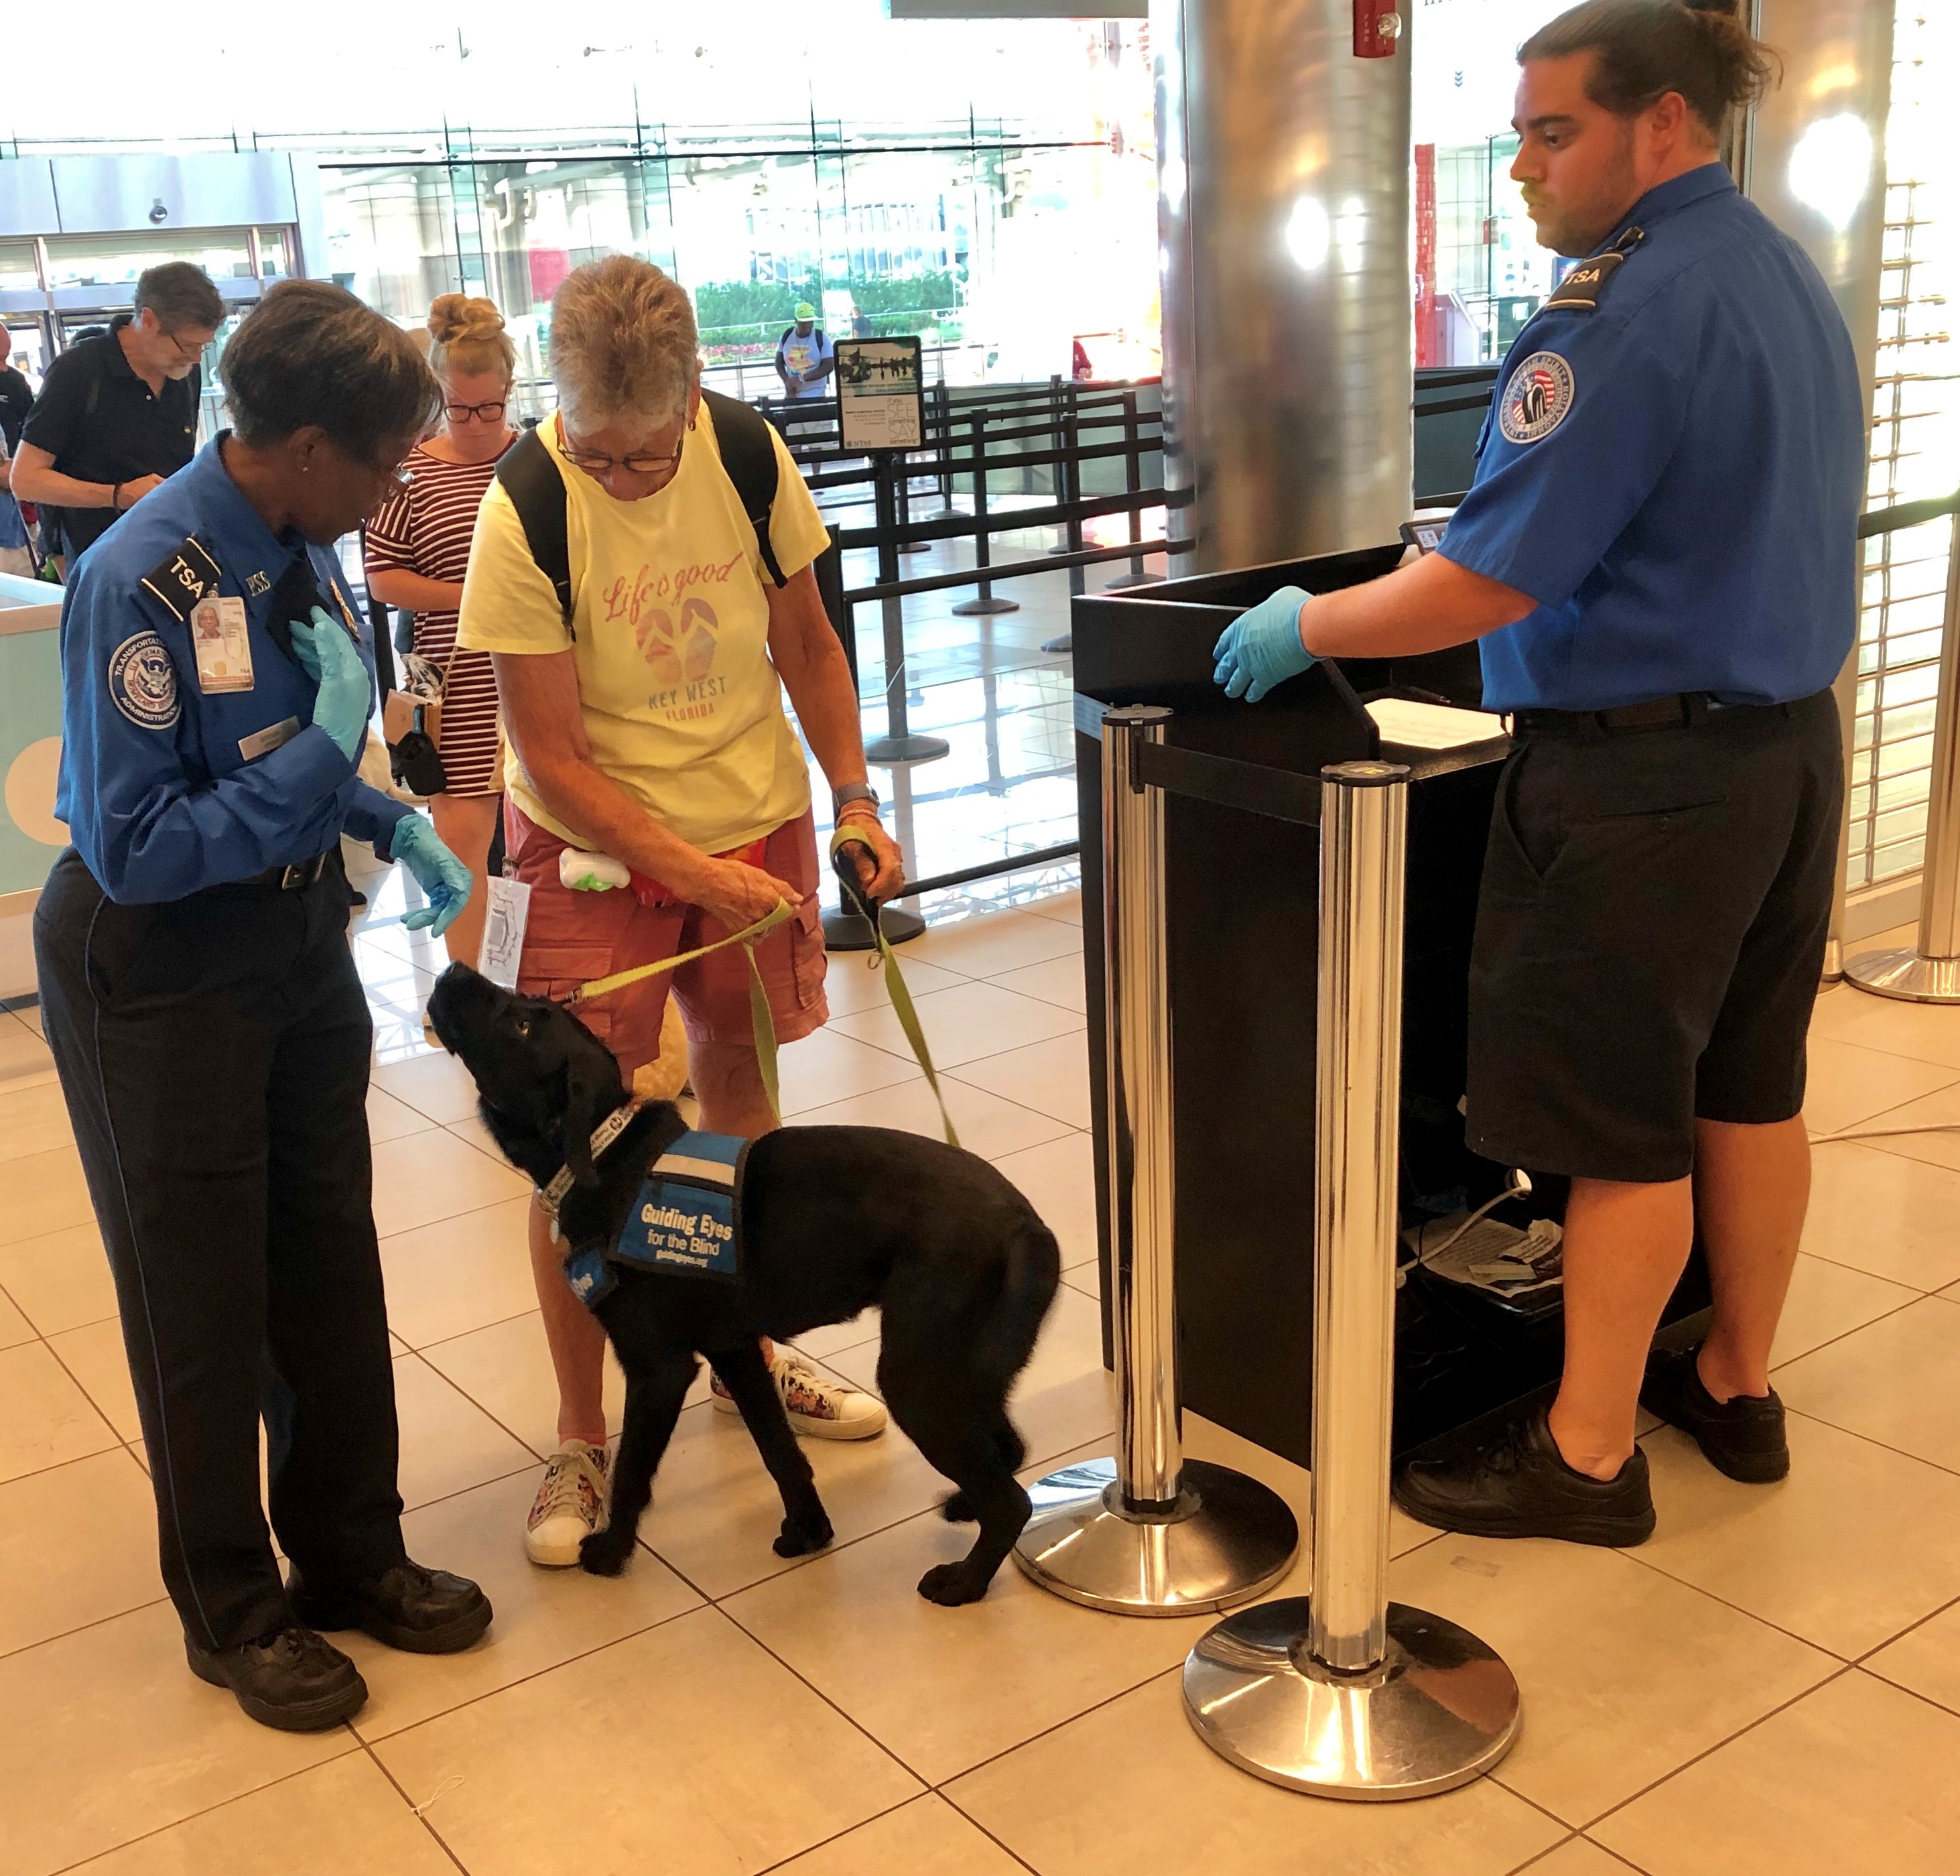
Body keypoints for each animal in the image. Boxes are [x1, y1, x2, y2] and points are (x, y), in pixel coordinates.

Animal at [431, 964, 1066, 1599]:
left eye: (519, 1023)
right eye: (525, 1002)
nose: (455, 970)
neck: (608, 1156)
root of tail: (1025, 1222)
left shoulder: (659, 1368)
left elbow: (633, 1468)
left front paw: (612, 1552)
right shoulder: (734, 1349)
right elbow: (780, 1451)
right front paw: (809, 1530)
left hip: (918, 1376)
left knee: (1011, 1499)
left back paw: (964, 1582)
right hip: (966, 1367)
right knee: (1008, 1447)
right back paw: (964, 1506)